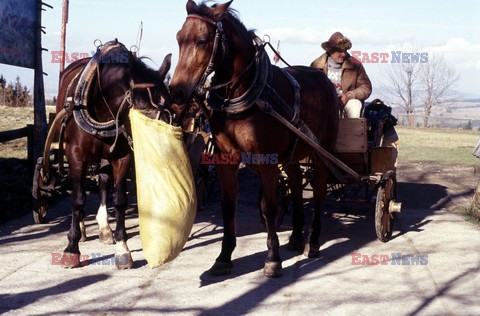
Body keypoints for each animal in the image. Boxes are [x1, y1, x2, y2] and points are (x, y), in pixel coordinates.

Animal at [39, 40, 172, 270]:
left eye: (169, 105)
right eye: (142, 107)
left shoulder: (122, 156)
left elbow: (119, 199)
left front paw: (122, 248)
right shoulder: (76, 155)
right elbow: (77, 198)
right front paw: (71, 248)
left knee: (102, 181)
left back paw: (104, 229)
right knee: (78, 187)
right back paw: (82, 229)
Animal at [169, 0, 348, 276]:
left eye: (202, 40)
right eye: (179, 38)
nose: (176, 92)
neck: (244, 94)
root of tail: (325, 81)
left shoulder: (267, 162)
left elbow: (268, 207)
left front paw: (272, 259)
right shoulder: (226, 161)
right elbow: (228, 207)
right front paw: (223, 257)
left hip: (321, 151)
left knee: (318, 191)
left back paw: (314, 241)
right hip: (292, 155)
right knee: (296, 186)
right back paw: (296, 237)